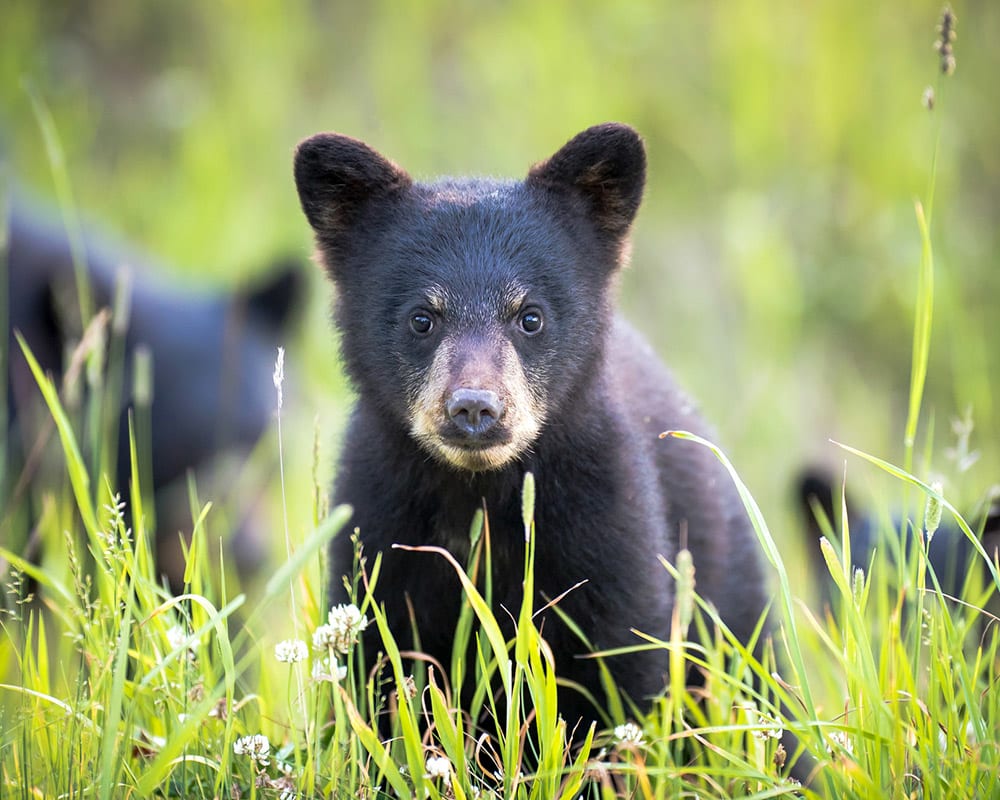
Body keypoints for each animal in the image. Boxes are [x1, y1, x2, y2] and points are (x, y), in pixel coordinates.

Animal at [293, 123, 768, 729]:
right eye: (421, 319)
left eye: (531, 316)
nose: (475, 408)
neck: (480, 496)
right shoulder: (381, 530)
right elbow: (380, 677)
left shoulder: (605, 527)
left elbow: (624, 671)